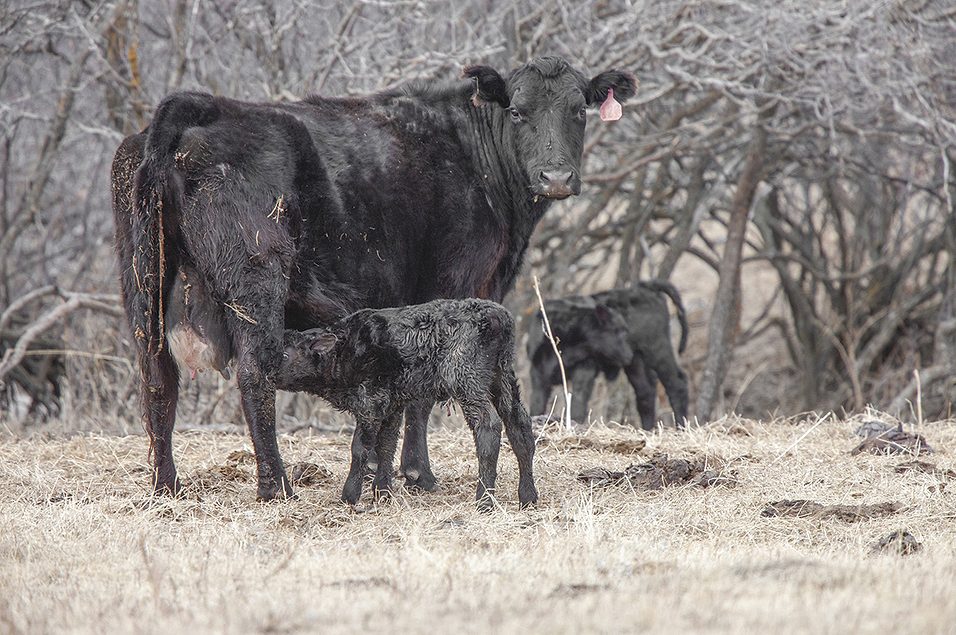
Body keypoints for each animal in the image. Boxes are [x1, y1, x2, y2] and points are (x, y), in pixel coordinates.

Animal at [275, 299, 538, 510]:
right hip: (503, 378)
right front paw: (382, 494)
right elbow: (386, 445)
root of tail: (497, 316)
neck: (343, 351)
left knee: (489, 426)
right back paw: (528, 498)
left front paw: (349, 496)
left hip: (467, 380)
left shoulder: (369, 402)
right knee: (520, 427)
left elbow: (360, 447)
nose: (267, 371)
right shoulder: (391, 404)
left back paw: (484, 501)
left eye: (285, 355)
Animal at [527, 281, 689, 430]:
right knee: (645, 392)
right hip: (637, 363)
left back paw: (681, 427)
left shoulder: (585, 370)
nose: (628, 353)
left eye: (624, 330)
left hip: (657, 350)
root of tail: (645, 287)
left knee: (676, 384)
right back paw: (647, 429)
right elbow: (537, 405)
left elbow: (578, 406)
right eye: (619, 330)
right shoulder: (538, 375)